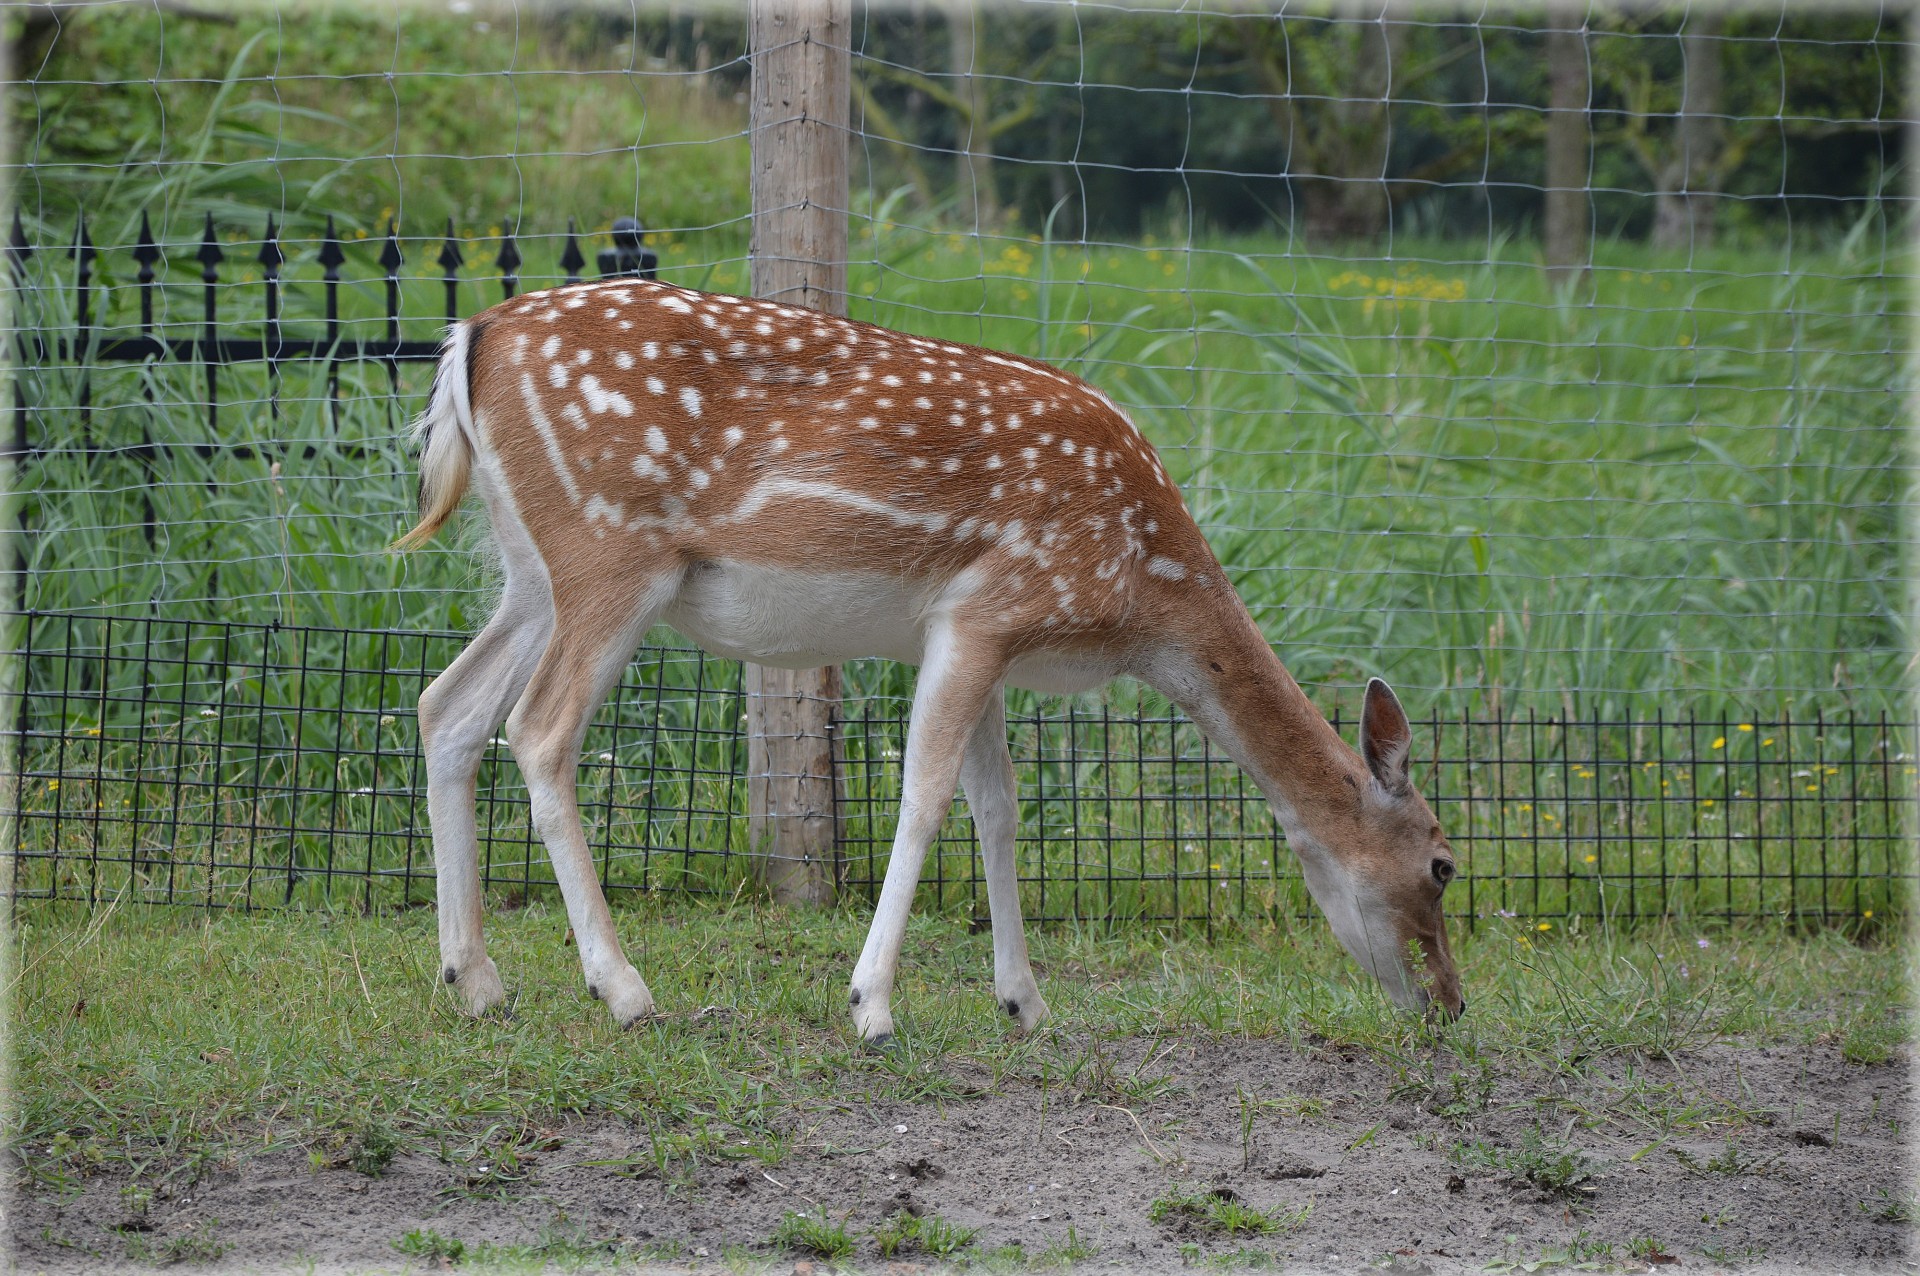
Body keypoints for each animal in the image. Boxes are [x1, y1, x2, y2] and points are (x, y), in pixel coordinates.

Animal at [397, 276, 1459, 1036]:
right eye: (1445, 865)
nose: (1450, 1003)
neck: (1142, 595)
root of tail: (468, 340)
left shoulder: (977, 636)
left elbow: (999, 807)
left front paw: (1025, 1001)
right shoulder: (993, 608)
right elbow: (926, 797)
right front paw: (870, 1005)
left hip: (532, 572)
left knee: (447, 706)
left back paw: (475, 980)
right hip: (609, 551)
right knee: (539, 731)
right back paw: (622, 989)